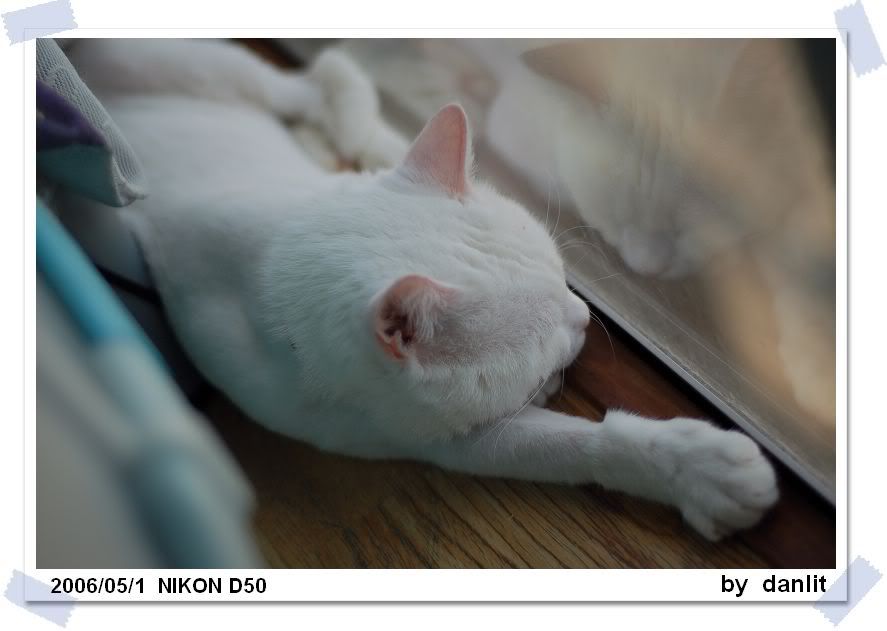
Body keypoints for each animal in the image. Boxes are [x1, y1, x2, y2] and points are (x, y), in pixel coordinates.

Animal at [67, 38, 778, 542]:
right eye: (546, 334)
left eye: (561, 274)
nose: (582, 314)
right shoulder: (432, 438)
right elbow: (568, 445)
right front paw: (703, 474)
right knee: (307, 82)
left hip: (205, 69)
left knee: (306, 84)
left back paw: (357, 119)